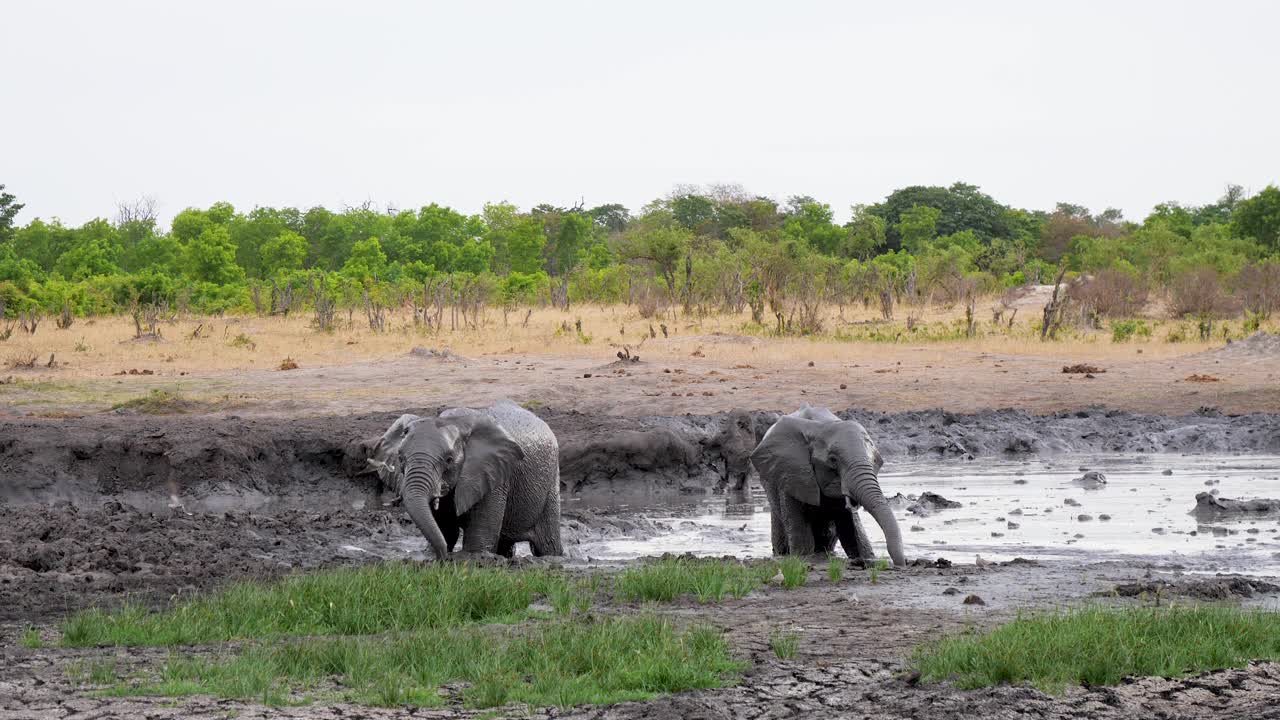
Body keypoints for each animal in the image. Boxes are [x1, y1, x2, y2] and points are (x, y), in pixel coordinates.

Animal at [363, 399, 558, 558]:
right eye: (401, 458)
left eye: (449, 460)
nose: (443, 559)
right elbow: (446, 530)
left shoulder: (493, 475)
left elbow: (478, 541)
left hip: (551, 480)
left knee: (548, 544)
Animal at [747, 404, 911, 566]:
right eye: (833, 460)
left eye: (875, 460)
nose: (901, 563)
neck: (819, 427)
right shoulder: (791, 473)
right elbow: (802, 535)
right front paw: (804, 559)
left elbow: (852, 530)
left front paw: (867, 558)